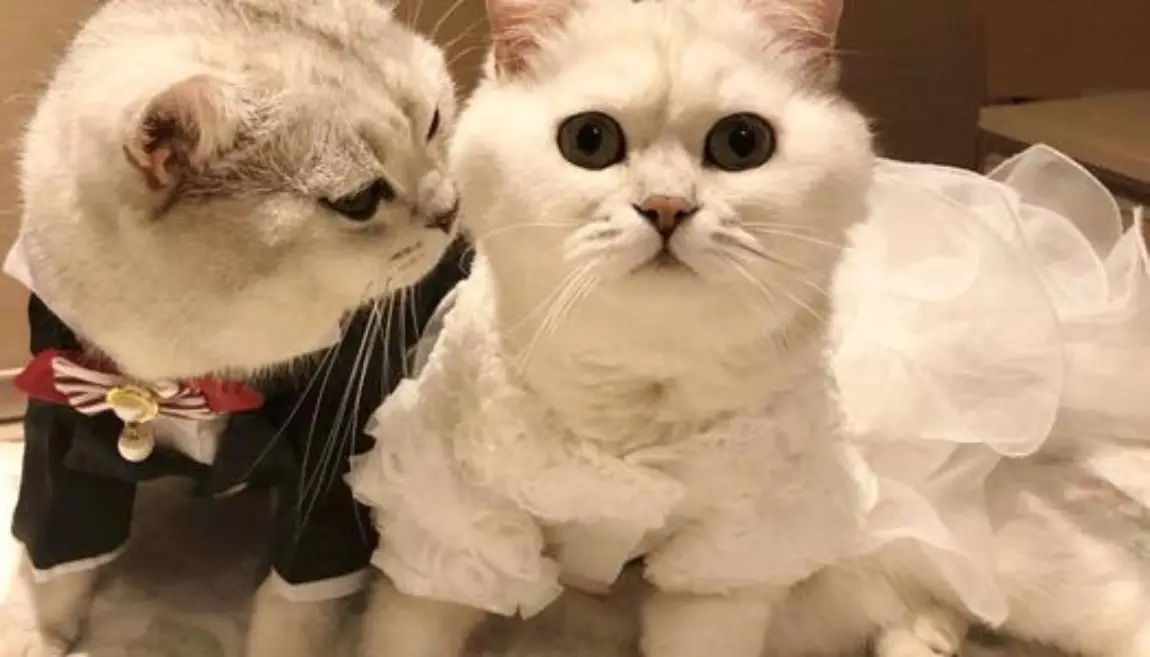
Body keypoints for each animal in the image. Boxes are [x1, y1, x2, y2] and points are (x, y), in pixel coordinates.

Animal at [9, 0, 460, 655]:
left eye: (434, 123)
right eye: (358, 202)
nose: (451, 211)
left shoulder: (330, 469)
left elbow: (292, 612)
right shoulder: (62, 438)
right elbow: (57, 566)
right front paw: (42, 636)